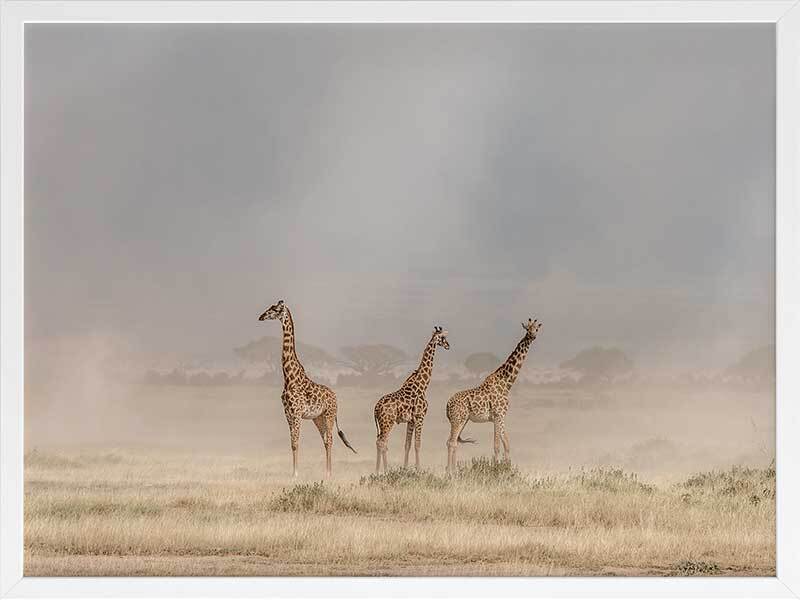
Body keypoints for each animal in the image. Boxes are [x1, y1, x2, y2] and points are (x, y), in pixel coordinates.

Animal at [258, 300, 356, 477]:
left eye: (275, 309)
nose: (261, 317)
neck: (289, 377)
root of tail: (336, 397)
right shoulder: (288, 414)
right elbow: (292, 443)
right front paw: (294, 473)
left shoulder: (296, 413)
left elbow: (296, 442)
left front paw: (295, 474)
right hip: (318, 418)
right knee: (325, 440)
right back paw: (326, 472)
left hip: (329, 415)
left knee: (330, 439)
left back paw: (329, 473)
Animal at [373, 326, 450, 473]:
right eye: (443, 337)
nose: (448, 345)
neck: (422, 385)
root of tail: (376, 408)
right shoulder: (420, 416)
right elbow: (417, 444)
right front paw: (418, 468)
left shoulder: (411, 420)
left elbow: (407, 444)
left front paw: (405, 468)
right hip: (388, 422)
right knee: (382, 442)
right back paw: (385, 470)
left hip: (381, 424)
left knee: (379, 442)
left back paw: (377, 470)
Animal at [445, 318, 542, 473]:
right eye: (527, 329)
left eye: (536, 329)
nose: (532, 336)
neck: (506, 383)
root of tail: (447, 404)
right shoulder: (498, 415)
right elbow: (496, 446)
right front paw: (496, 470)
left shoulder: (501, 417)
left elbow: (506, 445)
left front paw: (507, 468)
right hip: (458, 420)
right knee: (452, 442)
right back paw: (451, 473)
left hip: (461, 420)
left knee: (452, 442)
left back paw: (453, 471)